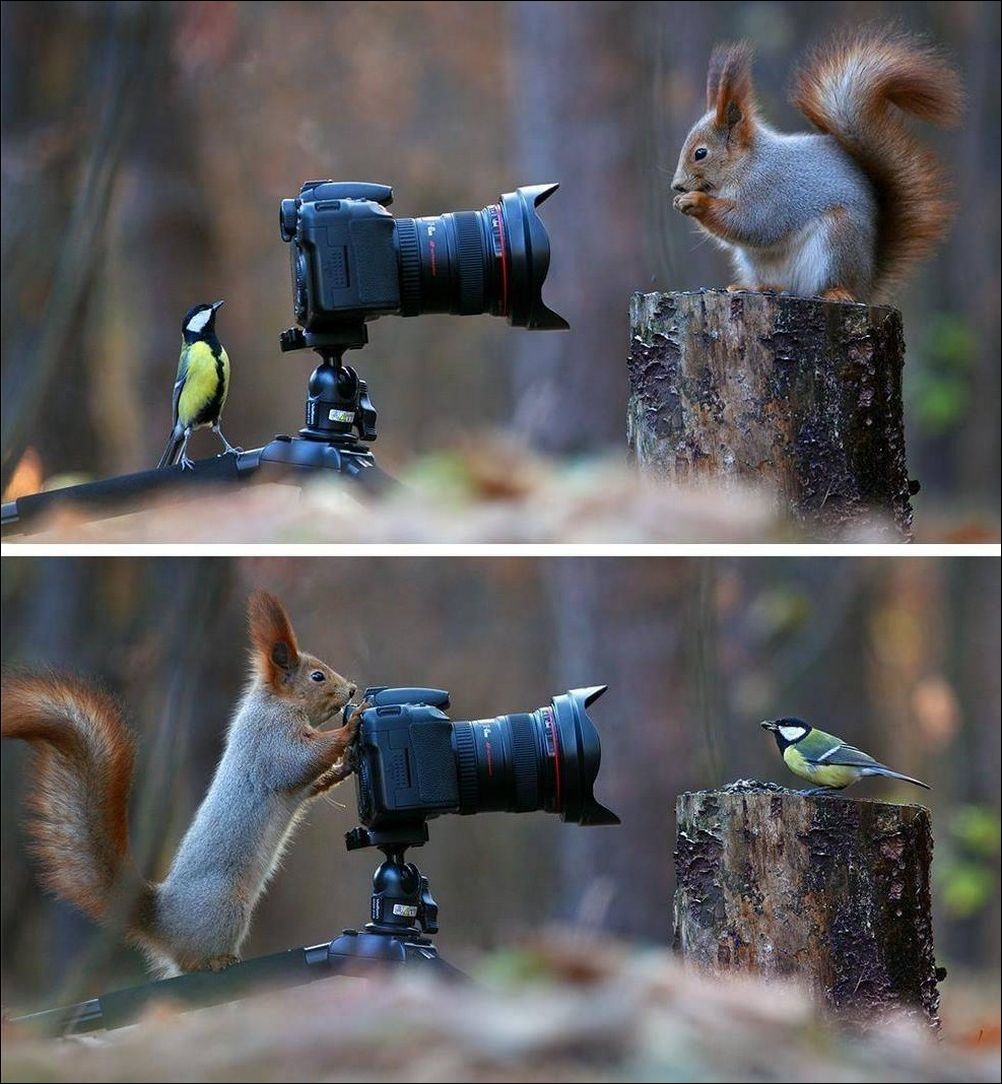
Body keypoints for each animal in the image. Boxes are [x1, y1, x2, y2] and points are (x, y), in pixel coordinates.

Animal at [1, 590, 361, 978]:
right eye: (317, 676)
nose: (353, 689)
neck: (275, 703)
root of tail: (164, 923)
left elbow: (311, 783)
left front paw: (344, 765)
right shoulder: (268, 741)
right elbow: (298, 761)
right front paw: (351, 725)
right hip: (227, 907)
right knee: (192, 961)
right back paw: (218, 960)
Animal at [670, 27, 962, 302]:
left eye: (700, 153)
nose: (677, 186)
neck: (747, 164)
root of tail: (866, 283)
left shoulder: (771, 190)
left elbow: (753, 223)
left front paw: (696, 202)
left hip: (838, 241)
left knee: (830, 283)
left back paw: (836, 292)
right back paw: (755, 287)